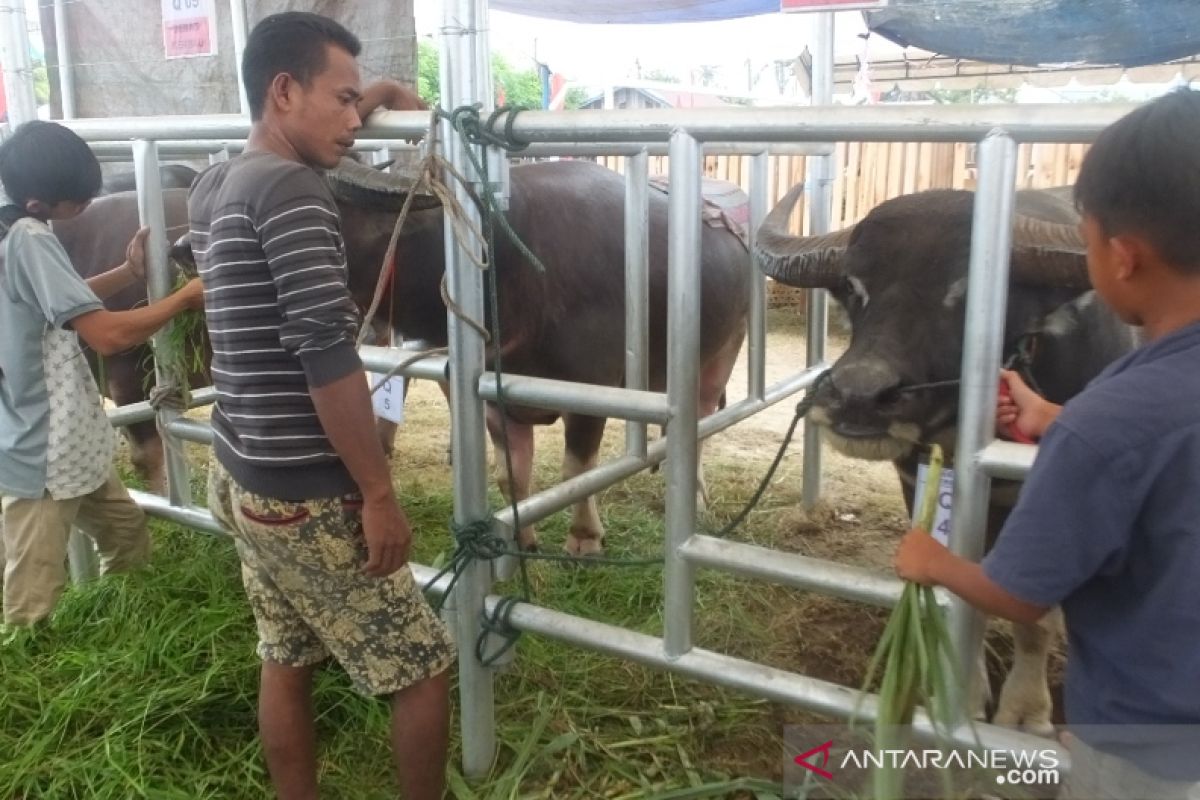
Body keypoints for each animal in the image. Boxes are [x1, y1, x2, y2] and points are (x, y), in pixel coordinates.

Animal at [753, 184, 1137, 734]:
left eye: (969, 294)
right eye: (854, 286)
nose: (858, 397)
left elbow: (1033, 616)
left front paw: (1026, 712)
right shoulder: (917, 484)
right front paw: (963, 695)